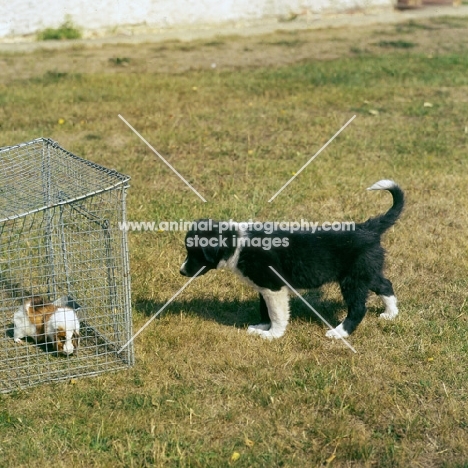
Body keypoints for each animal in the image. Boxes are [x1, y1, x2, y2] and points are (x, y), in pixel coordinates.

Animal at [179, 180, 402, 340]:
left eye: (194, 253)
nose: (181, 271)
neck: (238, 243)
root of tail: (369, 228)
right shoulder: (265, 286)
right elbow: (264, 308)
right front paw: (261, 326)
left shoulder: (274, 286)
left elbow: (277, 313)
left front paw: (271, 335)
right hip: (367, 271)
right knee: (385, 284)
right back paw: (390, 313)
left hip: (353, 279)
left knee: (358, 308)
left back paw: (339, 333)